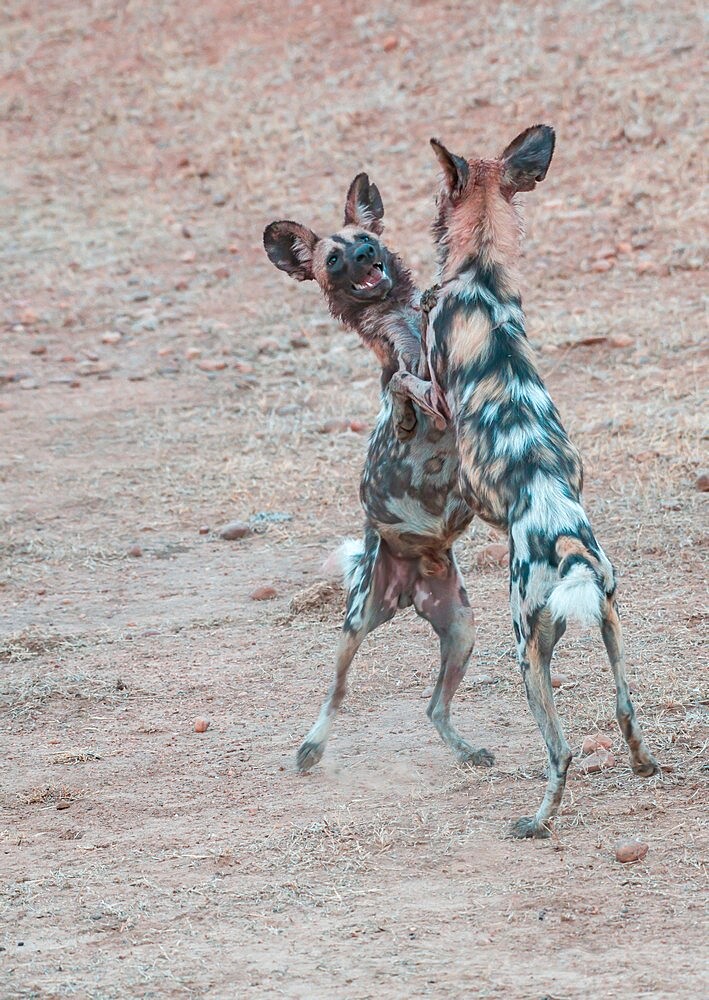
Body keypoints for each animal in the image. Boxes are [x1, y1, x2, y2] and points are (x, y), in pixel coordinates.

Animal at [420, 127, 660, 836]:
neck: (481, 277)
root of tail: (568, 541)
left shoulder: (433, 391)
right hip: (609, 619)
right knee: (625, 709)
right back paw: (642, 764)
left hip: (528, 647)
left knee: (562, 749)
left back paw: (537, 820)